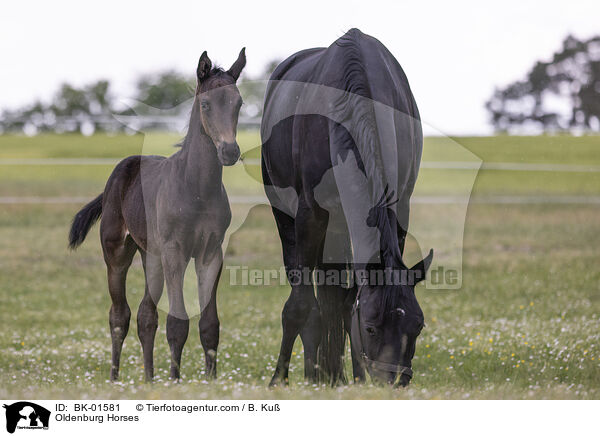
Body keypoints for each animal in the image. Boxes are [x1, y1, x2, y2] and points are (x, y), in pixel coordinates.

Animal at [66, 48, 244, 382]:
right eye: (205, 104)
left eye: (238, 103)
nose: (229, 151)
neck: (197, 188)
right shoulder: (176, 251)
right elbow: (177, 321)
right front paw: (175, 381)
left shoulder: (210, 252)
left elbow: (209, 324)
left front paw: (212, 381)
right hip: (117, 252)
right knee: (119, 314)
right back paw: (115, 379)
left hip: (151, 256)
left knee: (145, 315)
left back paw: (148, 380)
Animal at [262, 29, 432, 386]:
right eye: (371, 327)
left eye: (418, 325)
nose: (395, 381)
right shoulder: (310, 215)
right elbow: (300, 306)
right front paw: (281, 380)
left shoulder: (399, 209)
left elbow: (346, 298)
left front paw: (354, 378)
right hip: (290, 217)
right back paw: (313, 374)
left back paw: (333, 374)